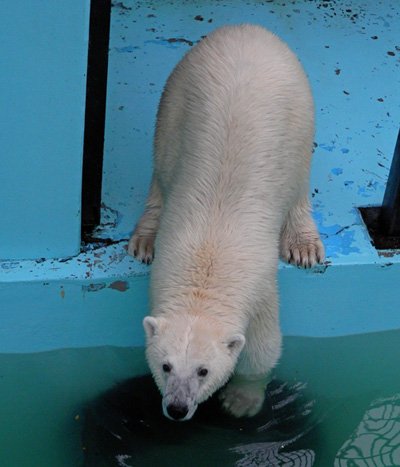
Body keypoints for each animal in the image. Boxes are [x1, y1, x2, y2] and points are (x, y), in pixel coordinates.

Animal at [129, 23, 324, 422]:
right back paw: (144, 239)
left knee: (299, 177)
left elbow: (263, 350)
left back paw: (303, 246)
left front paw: (240, 401)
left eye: (204, 370)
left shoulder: (262, 290)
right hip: (178, 92)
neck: (209, 258)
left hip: (299, 110)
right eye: (165, 366)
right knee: (162, 159)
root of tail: (248, 29)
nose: (177, 408)